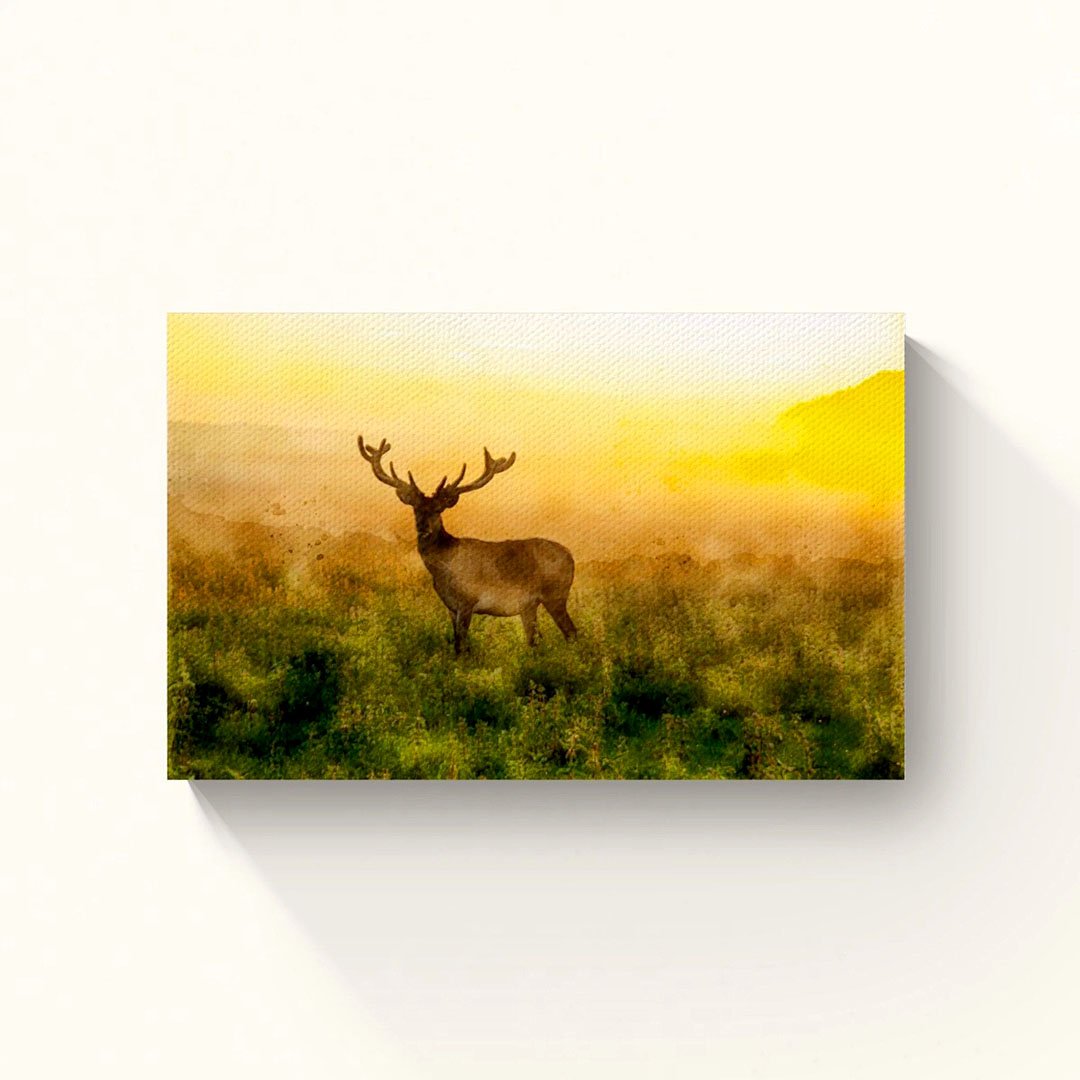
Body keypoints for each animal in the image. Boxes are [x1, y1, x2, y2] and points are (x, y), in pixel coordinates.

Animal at [358, 436, 577, 654]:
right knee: (535, 639)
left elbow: (462, 645)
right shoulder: (450, 606)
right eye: (415, 509)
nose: (422, 526)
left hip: (555, 594)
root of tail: (570, 555)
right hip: (529, 605)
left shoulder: (467, 601)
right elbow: (457, 644)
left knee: (571, 632)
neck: (443, 569)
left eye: (438, 509)